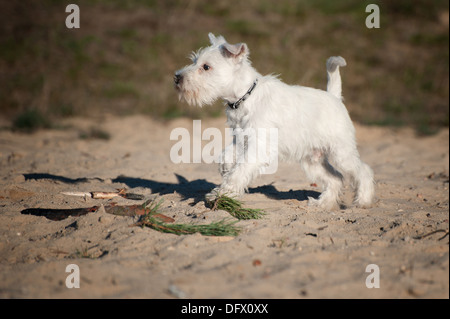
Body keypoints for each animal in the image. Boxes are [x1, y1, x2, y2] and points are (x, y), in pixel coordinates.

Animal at [174, 33, 374, 210]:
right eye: (194, 61)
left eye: (206, 67)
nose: (177, 77)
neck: (245, 97)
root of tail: (334, 97)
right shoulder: (241, 138)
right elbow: (227, 154)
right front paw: (225, 167)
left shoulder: (257, 147)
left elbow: (238, 173)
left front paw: (221, 194)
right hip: (312, 161)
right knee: (335, 179)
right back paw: (323, 204)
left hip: (341, 154)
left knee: (363, 171)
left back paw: (363, 201)